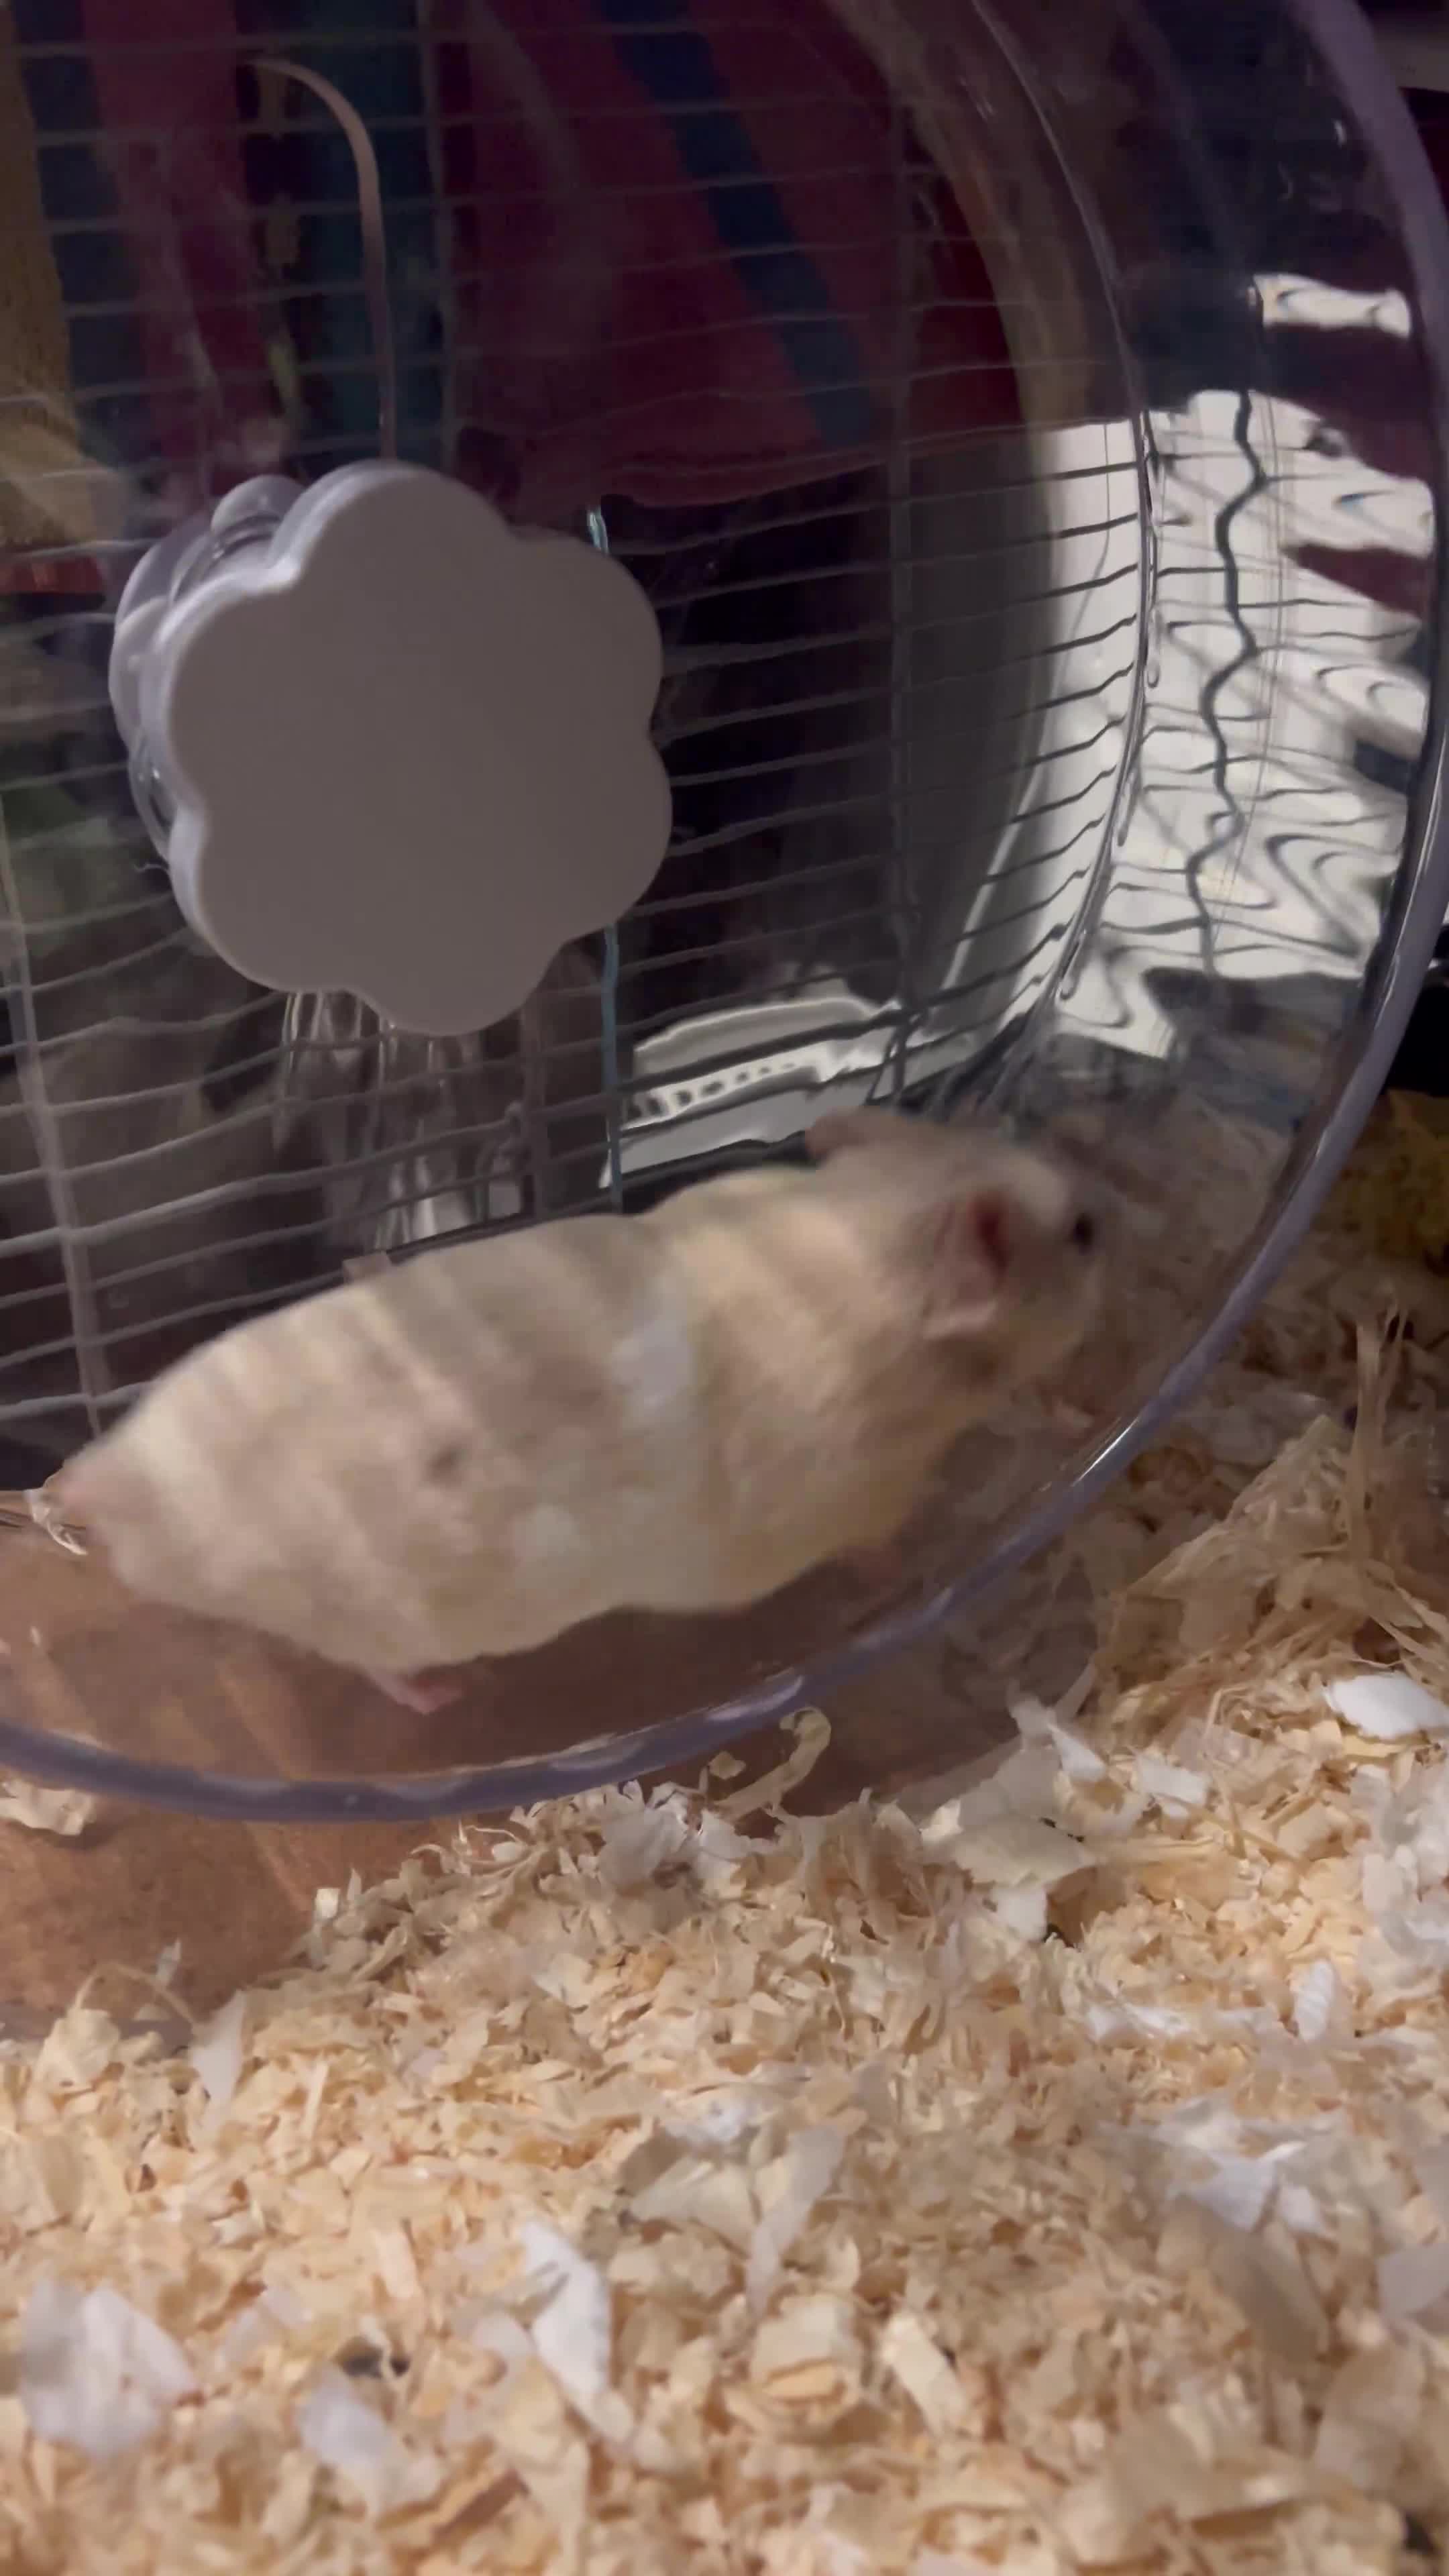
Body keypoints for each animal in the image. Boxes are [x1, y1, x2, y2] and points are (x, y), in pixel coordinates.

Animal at [56, 1108, 1103, 1707]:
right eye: (1084, 1232)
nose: (1113, 1207)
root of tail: (112, 1478)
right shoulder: (862, 1497)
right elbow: (887, 1543)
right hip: (373, 1621)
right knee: (379, 1669)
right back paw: (446, 1693)